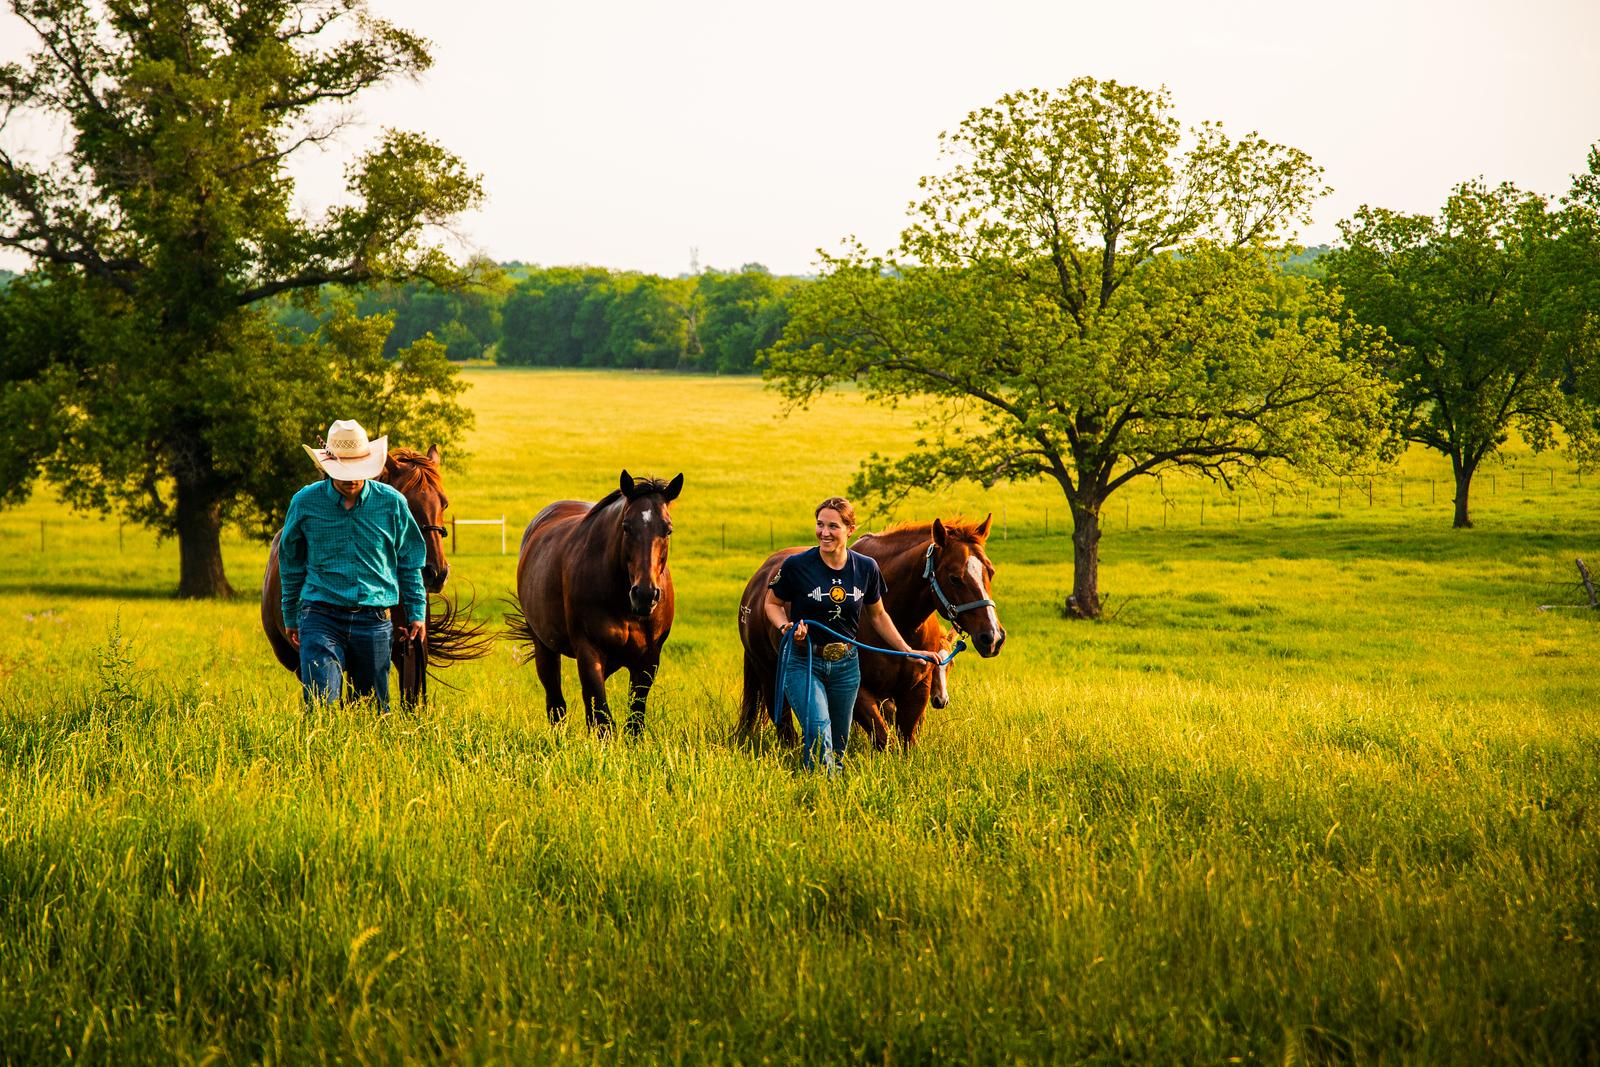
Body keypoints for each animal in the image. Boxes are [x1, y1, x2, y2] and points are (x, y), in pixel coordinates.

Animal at [505, 470, 681, 739]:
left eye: (668, 529)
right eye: (626, 527)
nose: (645, 594)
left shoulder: (648, 659)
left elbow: (634, 720)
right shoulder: (589, 651)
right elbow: (602, 720)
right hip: (544, 646)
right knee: (556, 703)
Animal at [732, 518, 998, 751]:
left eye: (991, 571)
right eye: (954, 577)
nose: (993, 637)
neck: (899, 623)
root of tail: (758, 583)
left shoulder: (916, 690)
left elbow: (906, 741)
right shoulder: (860, 692)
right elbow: (884, 739)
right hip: (770, 675)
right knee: (785, 726)